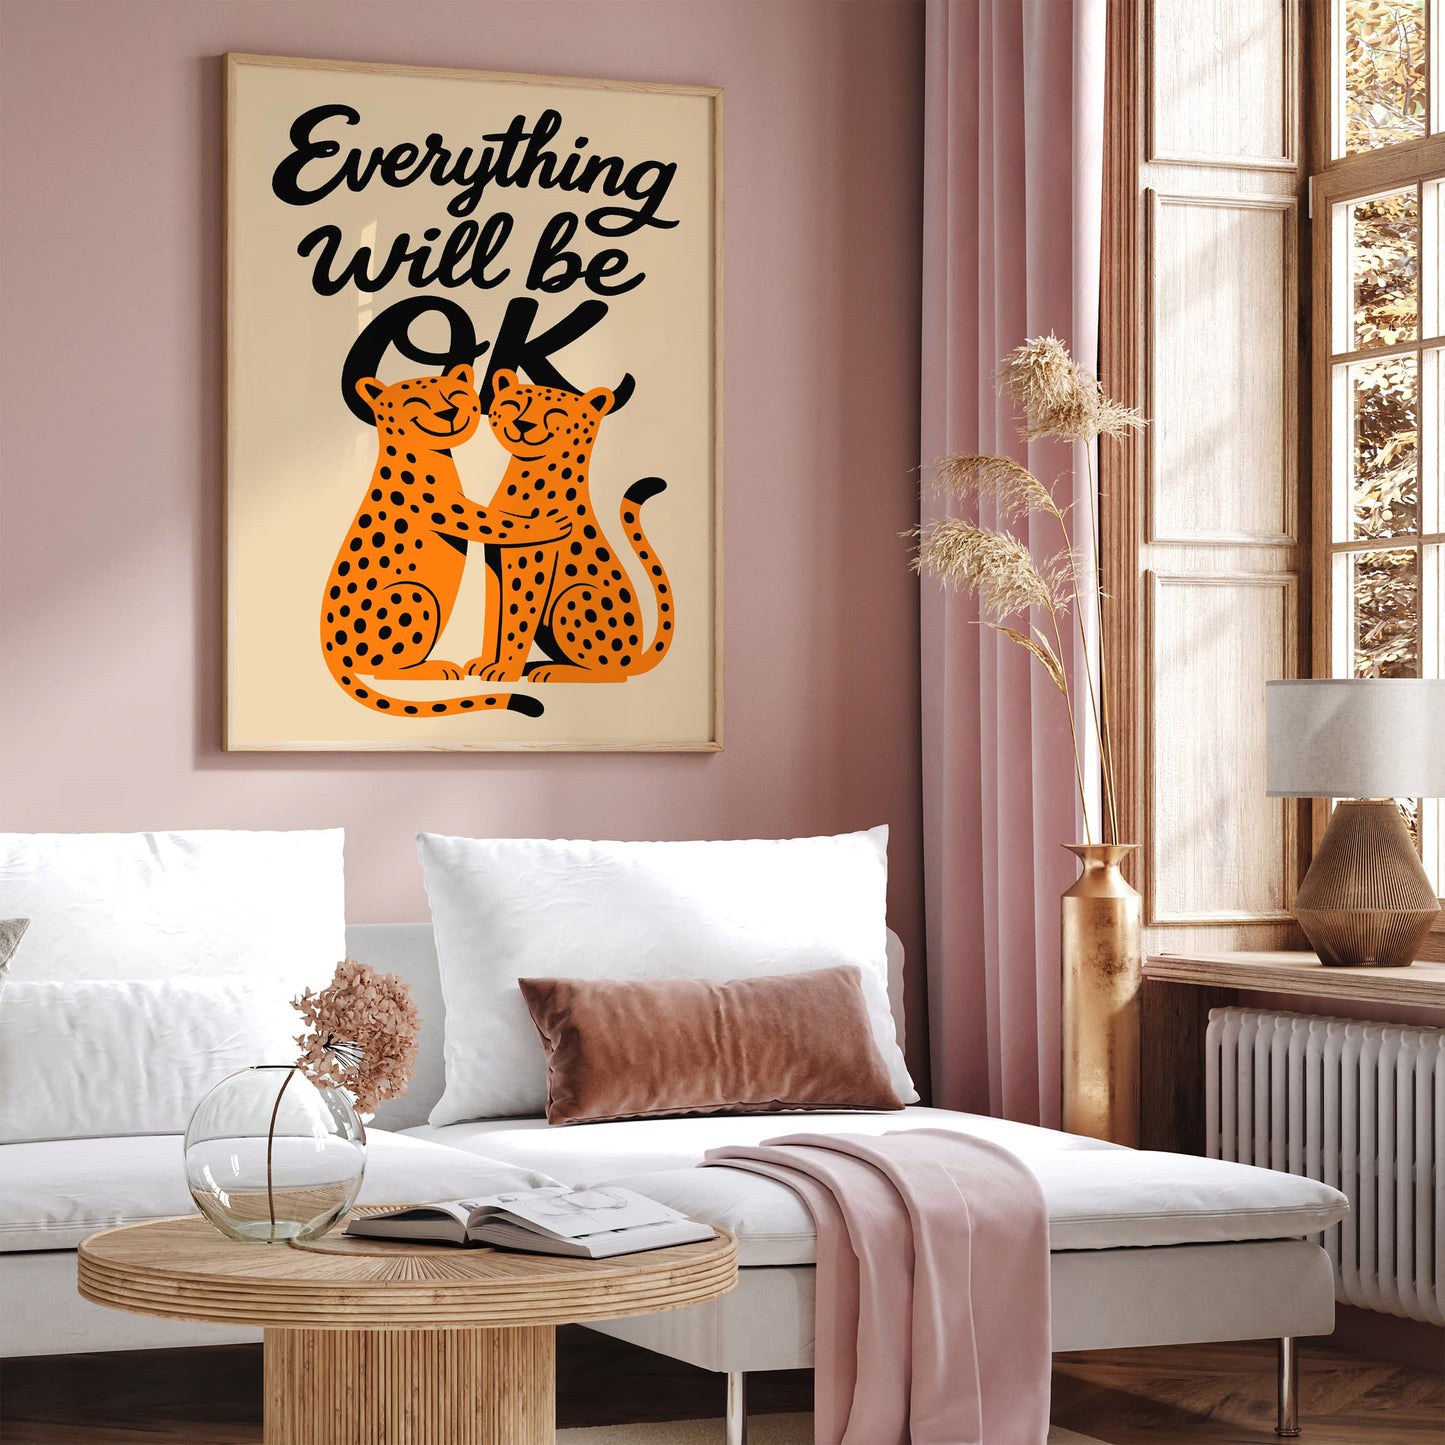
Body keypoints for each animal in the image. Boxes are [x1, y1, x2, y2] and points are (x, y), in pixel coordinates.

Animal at [320, 364, 571, 718]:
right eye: (414, 402)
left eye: (454, 395)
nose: (449, 412)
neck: (426, 451)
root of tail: (333, 652)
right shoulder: (448, 509)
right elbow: (495, 522)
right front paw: (546, 524)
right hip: (414, 596)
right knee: (384, 671)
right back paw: (431, 667)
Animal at [463, 369, 675, 685]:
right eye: (514, 405)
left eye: (556, 414)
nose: (523, 425)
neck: (527, 472)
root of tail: (633, 655)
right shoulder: (494, 563)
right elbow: (495, 618)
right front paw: (486, 664)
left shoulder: (529, 566)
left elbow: (517, 618)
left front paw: (506, 670)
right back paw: (538, 665)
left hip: (573, 597)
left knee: (613, 675)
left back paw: (554, 671)